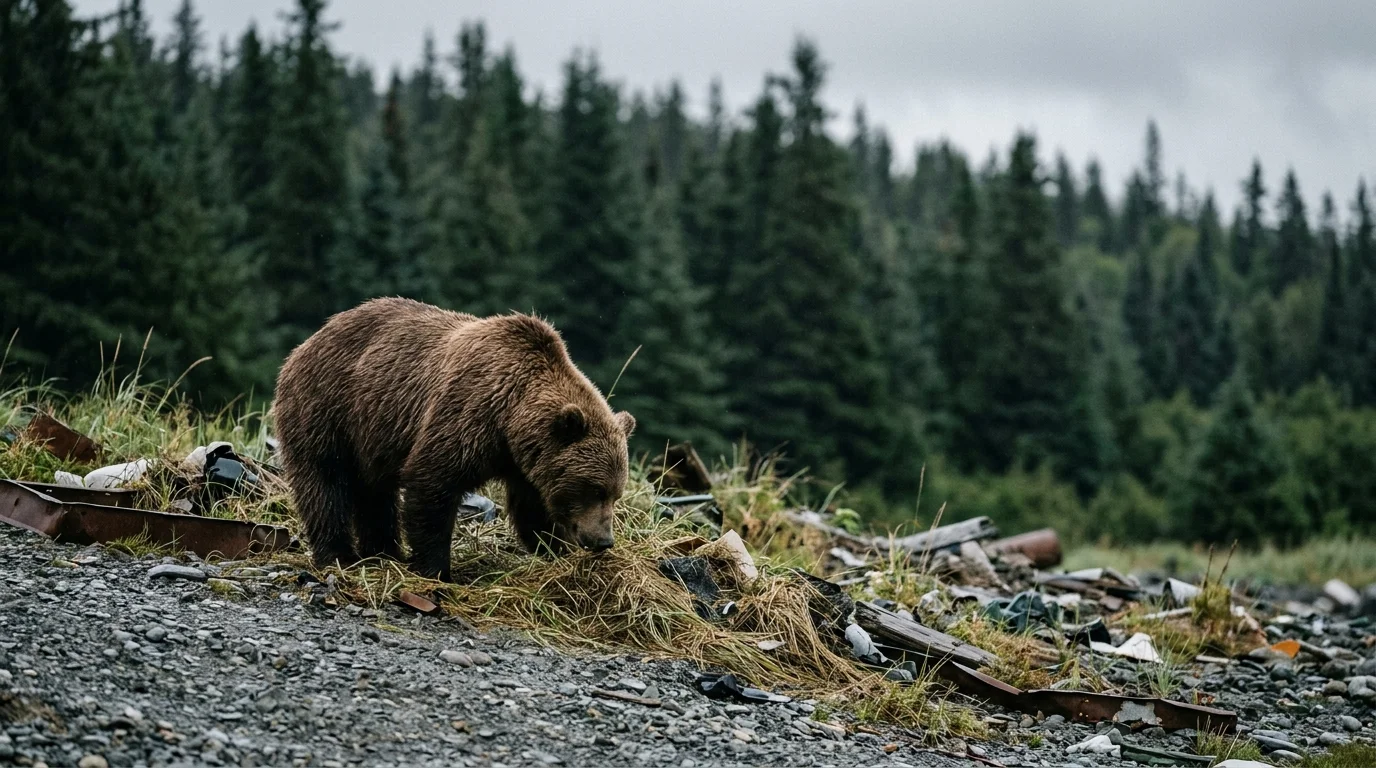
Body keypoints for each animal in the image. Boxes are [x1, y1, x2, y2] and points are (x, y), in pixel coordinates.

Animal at [271, 297, 636, 581]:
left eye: (615, 493)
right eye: (595, 489)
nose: (603, 541)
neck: (511, 420)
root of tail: (309, 340)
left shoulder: (524, 463)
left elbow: (532, 509)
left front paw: (555, 549)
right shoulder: (468, 415)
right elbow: (432, 484)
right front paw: (435, 568)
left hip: (370, 432)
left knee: (374, 493)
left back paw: (384, 551)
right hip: (328, 408)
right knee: (325, 482)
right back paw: (338, 554)